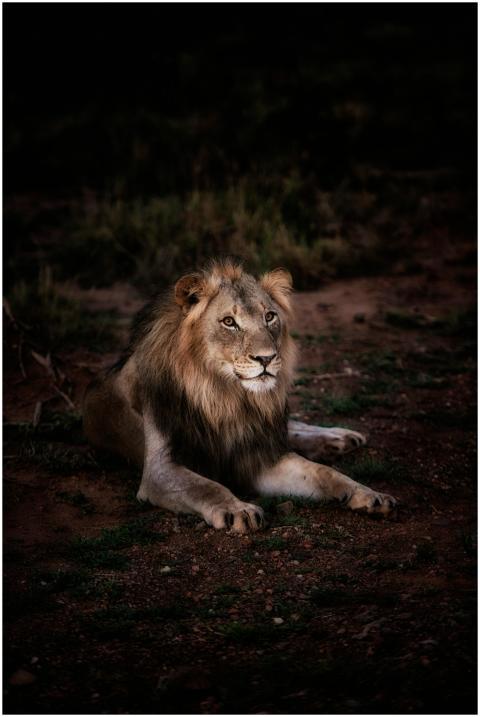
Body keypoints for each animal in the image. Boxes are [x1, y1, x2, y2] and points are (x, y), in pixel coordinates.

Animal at [83, 259, 396, 532]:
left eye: (269, 316)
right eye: (229, 322)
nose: (266, 358)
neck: (227, 398)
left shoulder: (259, 456)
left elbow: (323, 472)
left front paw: (368, 493)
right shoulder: (160, 470)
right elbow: (207, 487)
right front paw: (239, 510)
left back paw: (338, 438)